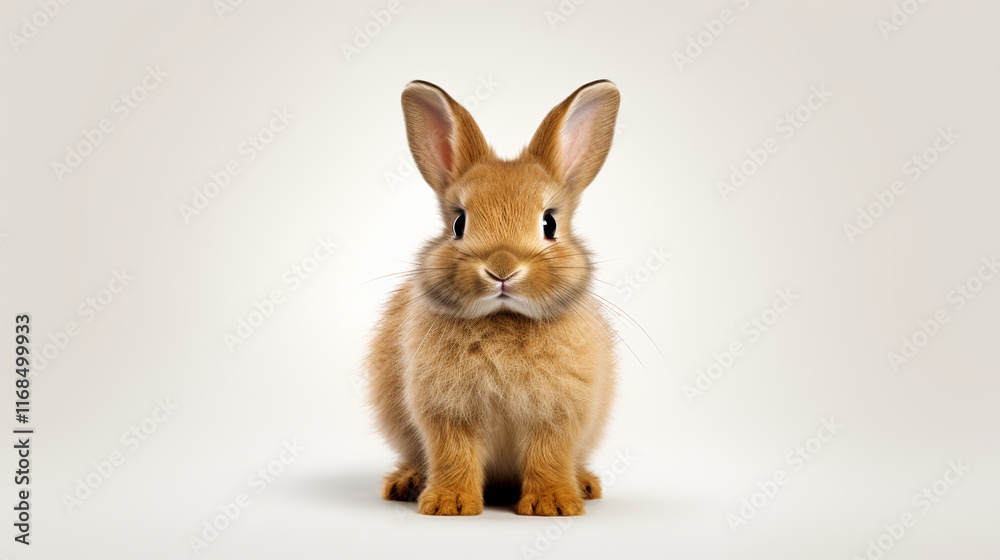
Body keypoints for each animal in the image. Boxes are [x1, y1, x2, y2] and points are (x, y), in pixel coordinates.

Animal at [366, 79, 620, 516]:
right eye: (458, 223)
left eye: (549, 223)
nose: (502, 268)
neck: (502, 317)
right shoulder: (446, 414)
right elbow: (453, 456)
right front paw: (448, 506)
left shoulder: (556, 417)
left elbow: (549, 457)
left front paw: (552, 505)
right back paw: (406, 483)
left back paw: (586, 485)